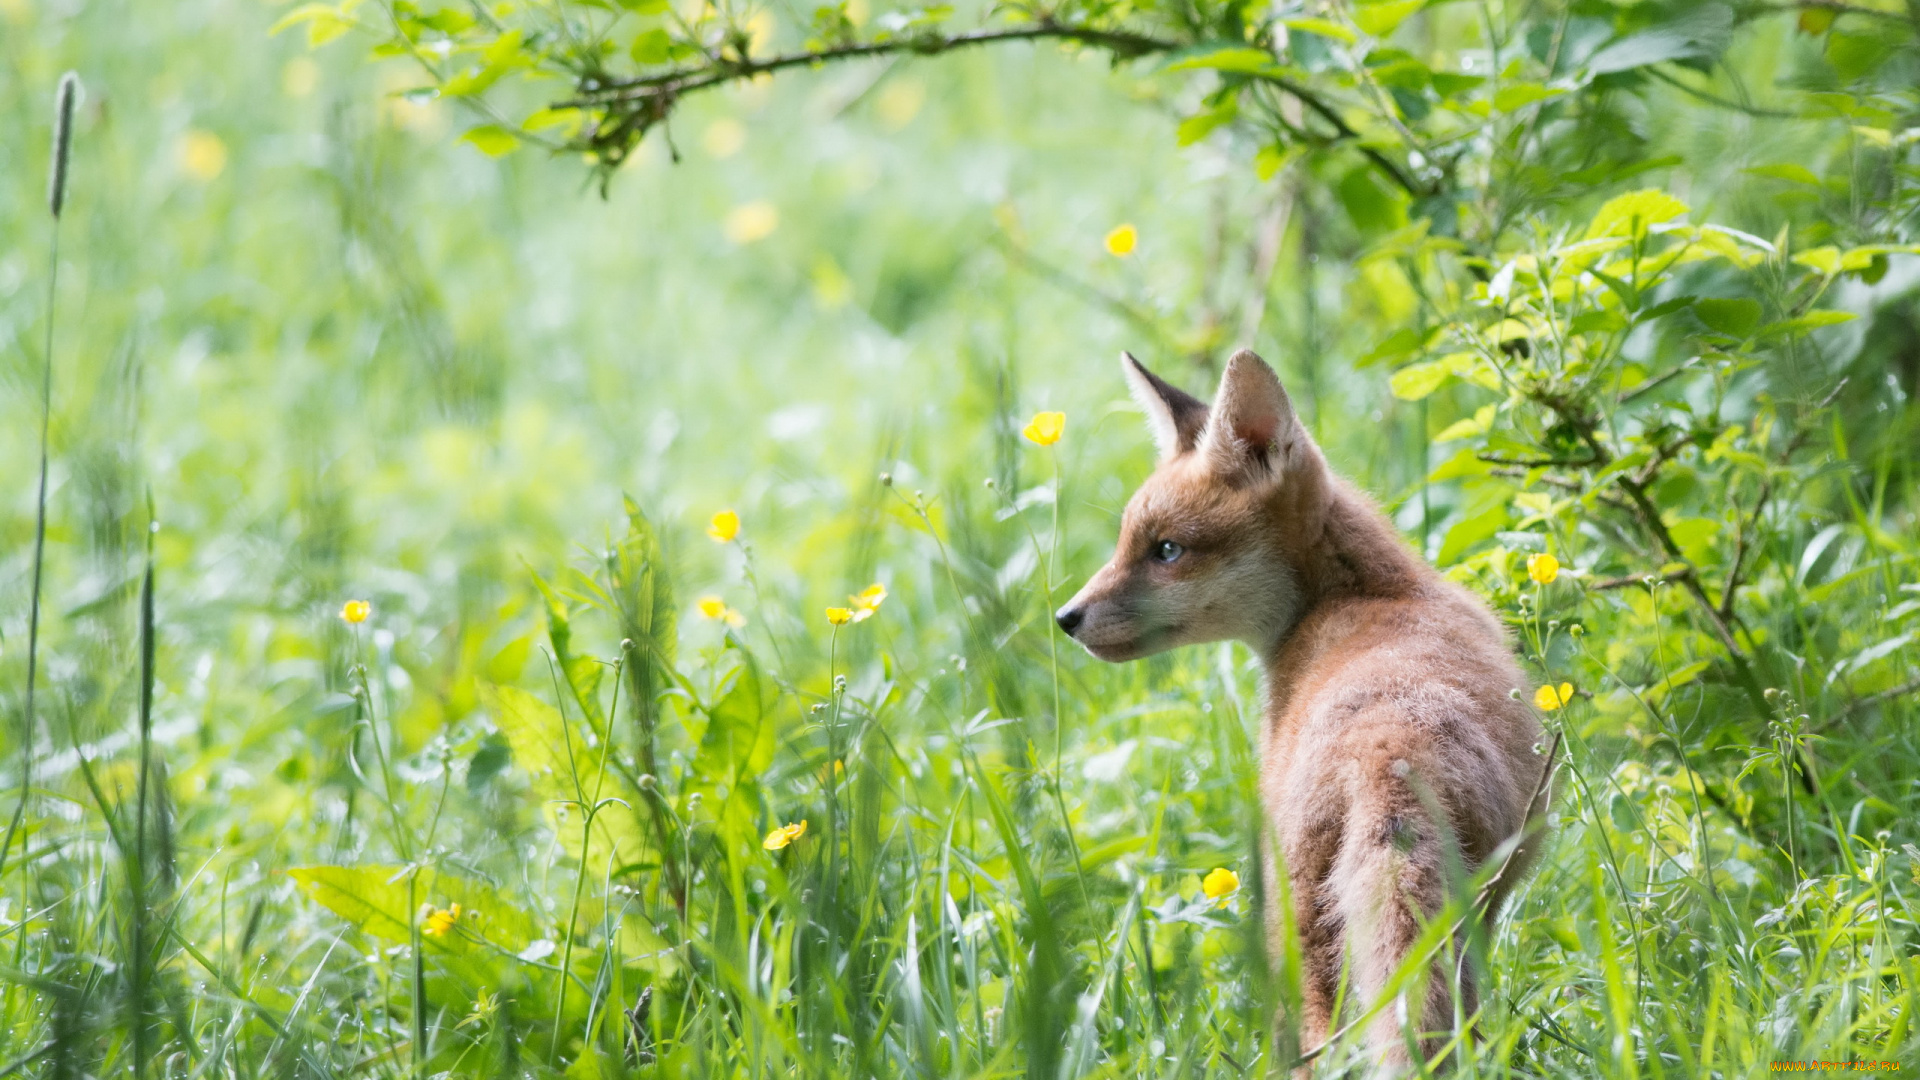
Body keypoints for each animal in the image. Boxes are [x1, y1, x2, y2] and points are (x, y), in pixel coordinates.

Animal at [1059, 345, 1551, 1068]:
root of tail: (1390, 749)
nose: (1065, 618)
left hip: (1298, 931)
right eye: (1126, 541)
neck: (1372, 593)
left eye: (1167, 550)